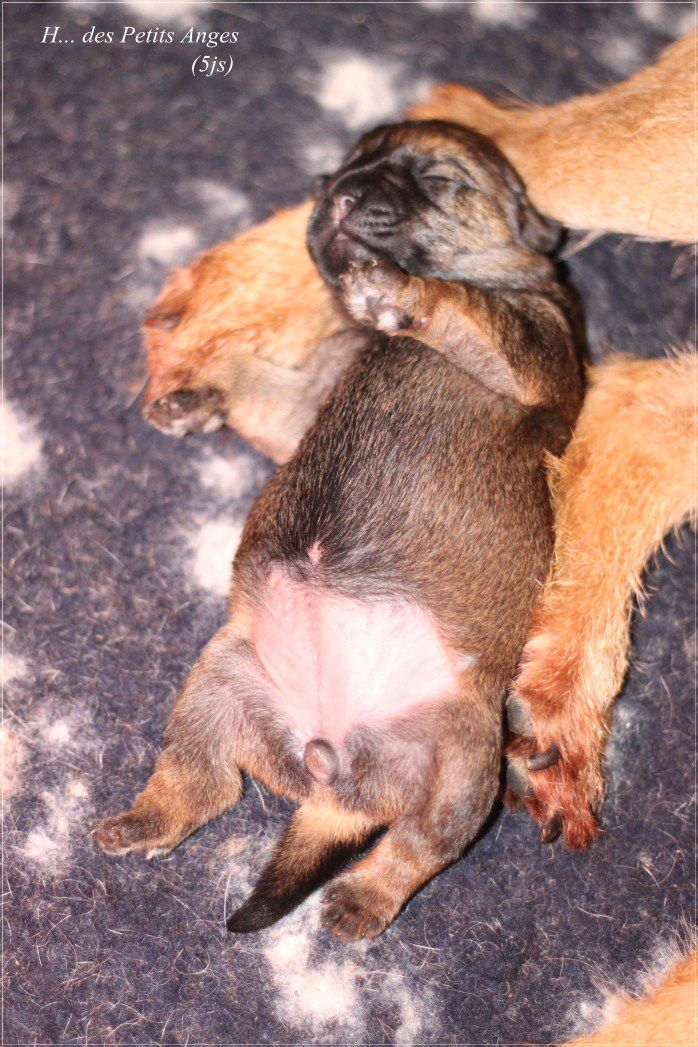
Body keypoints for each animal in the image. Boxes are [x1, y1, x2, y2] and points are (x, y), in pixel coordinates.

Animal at [93, 120, 582, 941]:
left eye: (438, 177)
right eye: (346, 164)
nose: (338, 194)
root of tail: (332, 771)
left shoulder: (533, 348)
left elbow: (464, 305)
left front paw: (391, 287)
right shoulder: (307, 397)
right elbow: (261, 387)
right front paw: (198, 398)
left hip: (463, 756)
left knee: (418, 844)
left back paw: (359, 900)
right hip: (219, 675)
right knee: (201, 781)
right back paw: (141, 824)